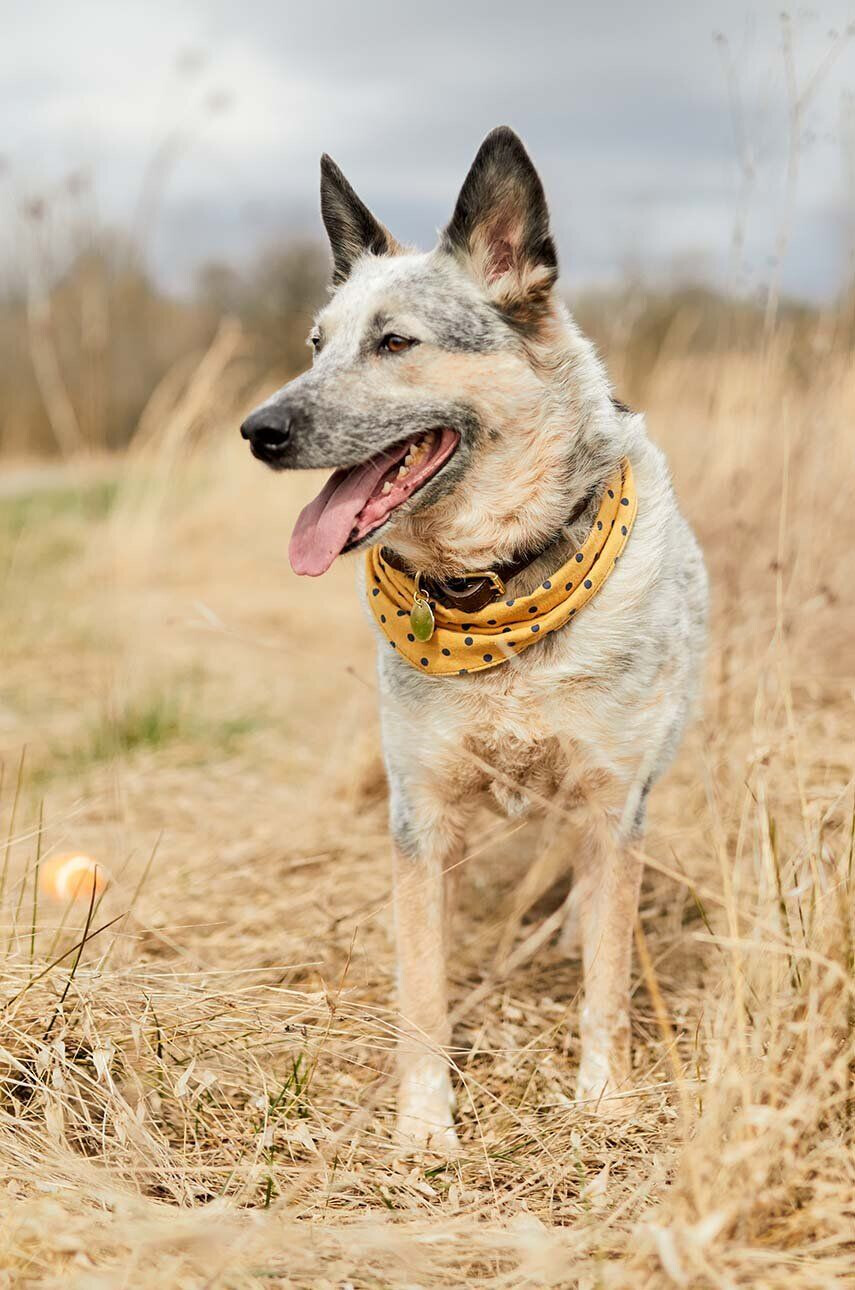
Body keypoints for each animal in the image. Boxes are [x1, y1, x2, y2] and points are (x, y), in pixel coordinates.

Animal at [241, 128, 706, 1150]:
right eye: (315, 344)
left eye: (395, 342)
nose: (257, 429)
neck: (496, 587)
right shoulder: (422, 817)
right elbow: (421, 985)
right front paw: (424, 1126)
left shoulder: (612, 799)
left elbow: (607, 980)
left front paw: (604, 1098)